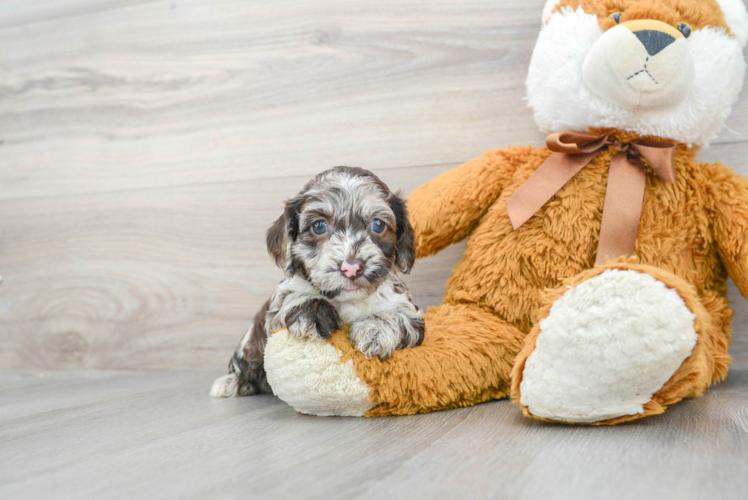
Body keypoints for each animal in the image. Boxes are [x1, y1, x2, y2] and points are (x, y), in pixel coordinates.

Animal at [210, 168, 424, 398]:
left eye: (378, 224)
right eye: (319, 226)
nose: (351, 267)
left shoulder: (410, 311)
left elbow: (398, 316)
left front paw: (376, 328)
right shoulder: (278, 306)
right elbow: (292, 296)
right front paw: (313, 314)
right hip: (248, 345)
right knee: (244, 365)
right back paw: (230, 383)